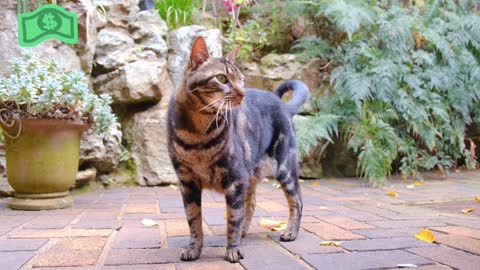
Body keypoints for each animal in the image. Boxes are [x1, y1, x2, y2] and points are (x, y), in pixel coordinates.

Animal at [167, 37, 310, 262]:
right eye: (222, 78)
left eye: (241, 79)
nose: (242, 93)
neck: (198, 135)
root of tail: (283, 105)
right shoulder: (187, 183)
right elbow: (193, 220)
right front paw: (194, 248)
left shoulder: (235, 180)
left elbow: (232, 219)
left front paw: (233, 249)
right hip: (251, 175)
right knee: (250, 204)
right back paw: (245, 231)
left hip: (284, 167)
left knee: (297, 201)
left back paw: (290, 232)